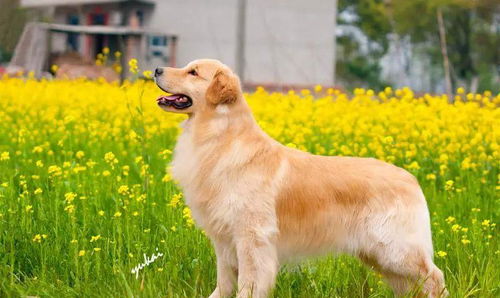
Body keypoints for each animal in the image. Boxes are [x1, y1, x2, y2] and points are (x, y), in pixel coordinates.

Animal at [154, 59, 448, 296]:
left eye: (193, 72)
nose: (156, 70)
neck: (221, 138)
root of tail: (411, 179)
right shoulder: (225, 240)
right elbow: (224, 283)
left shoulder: (252, 237)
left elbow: (248, 283)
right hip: (379, 257)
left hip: (394, 249)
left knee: (434, 276)